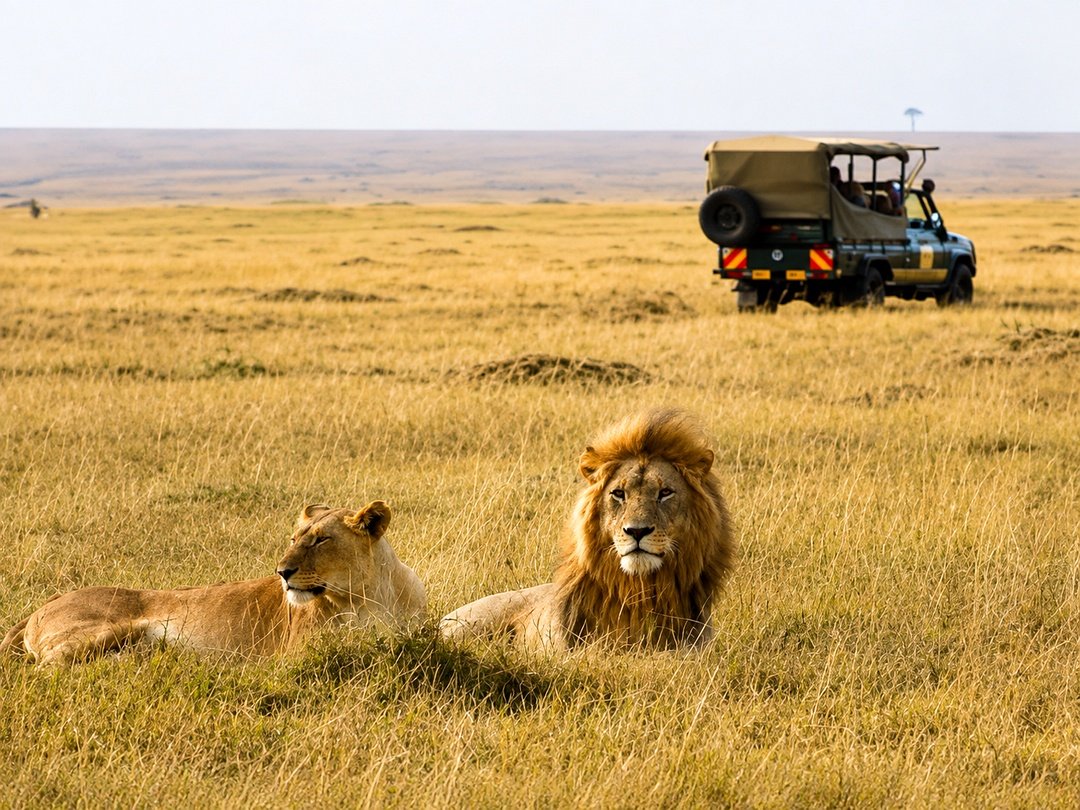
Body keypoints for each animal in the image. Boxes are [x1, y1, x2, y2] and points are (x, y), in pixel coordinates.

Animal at [1, 501, 426, 666]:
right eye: (294, 538)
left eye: (321, 540)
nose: (282, 572)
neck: (371, 596)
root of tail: (40, 607)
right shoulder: (294, 656)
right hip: (104, 628)